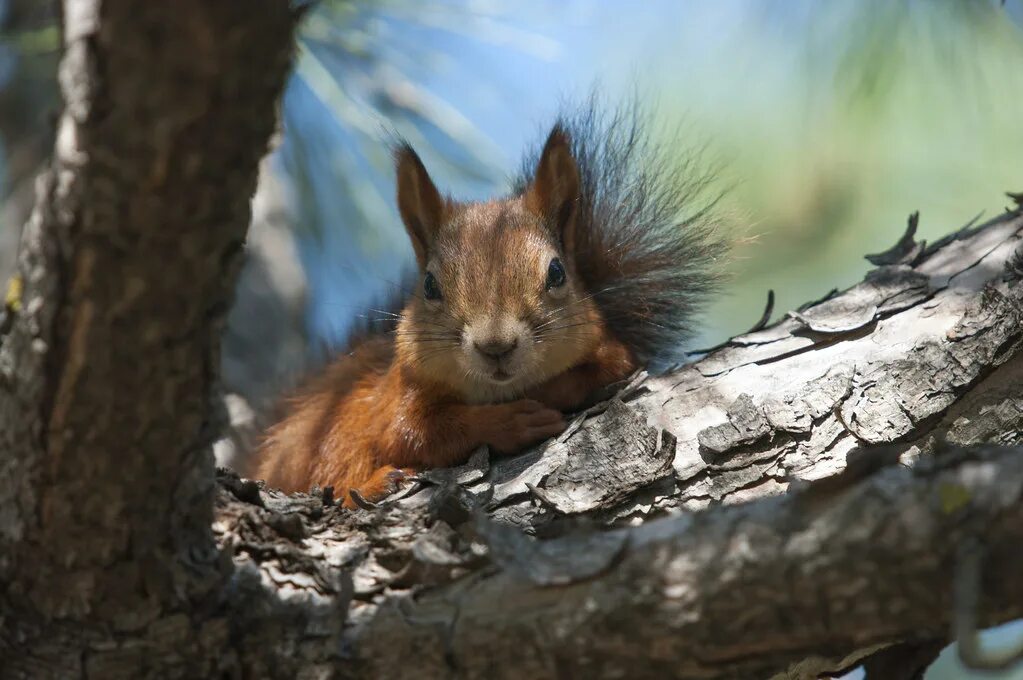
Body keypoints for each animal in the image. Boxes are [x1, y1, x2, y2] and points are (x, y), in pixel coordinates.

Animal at [253, 100, 728, 503]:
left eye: (557, 272)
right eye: (429, 285)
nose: (495, 346)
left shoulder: (610, 349)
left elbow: (605, 369)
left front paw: (545, 393)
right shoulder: (396, 396)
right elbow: (413, 432)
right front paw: (509, 421)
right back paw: (376, 484)